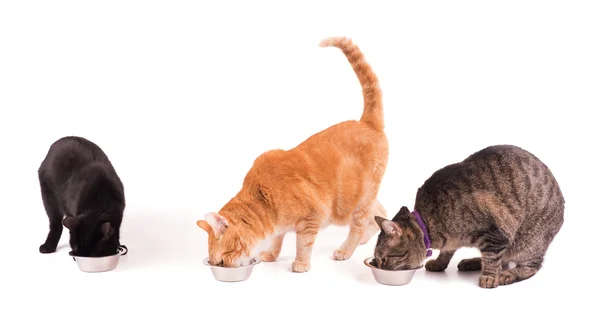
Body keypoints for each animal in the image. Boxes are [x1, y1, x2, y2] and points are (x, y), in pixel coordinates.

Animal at [197, 36, 390, 272]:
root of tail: (366, 122)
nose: (226, 266)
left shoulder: (310, 219)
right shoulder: (279, 228)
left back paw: (346, 249)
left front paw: (300, 264)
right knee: (380, 212)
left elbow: (303, 244)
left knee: (359, 224)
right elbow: (277, 241)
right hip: (363, 200)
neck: (263, 200)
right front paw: (271, 255)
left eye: (223, 259)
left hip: (352, 205)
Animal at [372, 144, 564, 288]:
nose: (379, 266)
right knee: (504, 260)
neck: (428, 225)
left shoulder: (495, 233)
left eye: (384, 259)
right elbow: (446, 252)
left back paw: (507, 274)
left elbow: (492, 258)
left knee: (529, 266)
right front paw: (439, 263)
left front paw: (489, 277)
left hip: (529, 242)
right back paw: (473, 262)